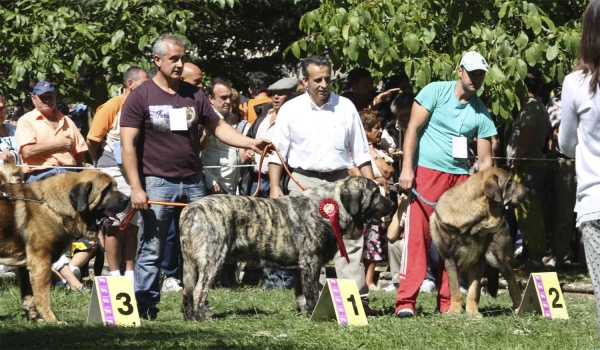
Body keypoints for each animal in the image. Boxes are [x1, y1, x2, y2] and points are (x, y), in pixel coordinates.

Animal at [0, 170, 129, 322]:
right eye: (107, 189)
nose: (127, 199)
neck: (51, 205)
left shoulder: (26, 265)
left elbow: (29, 295)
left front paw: (34, 318)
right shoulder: (41, 263)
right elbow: (43, 296)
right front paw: (52, 320)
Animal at [428, 166, 528, 314]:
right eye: (510, 182)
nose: (527, 189)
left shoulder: (478, 260)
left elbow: (473, 289)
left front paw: (473, 313)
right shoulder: (450, 261)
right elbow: (455, 290)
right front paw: (455, 311)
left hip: (500, 260)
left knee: (513, 286)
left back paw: (518, 309)